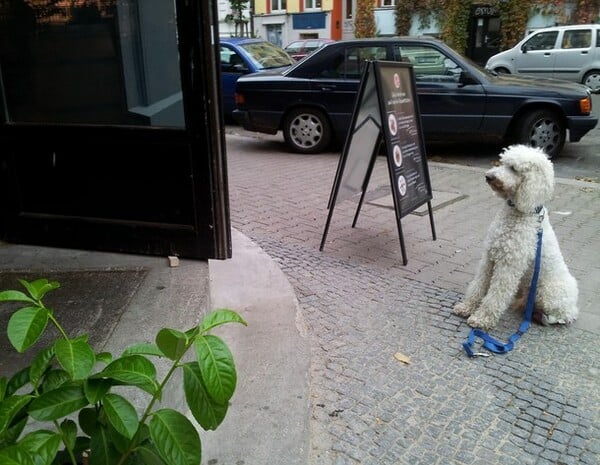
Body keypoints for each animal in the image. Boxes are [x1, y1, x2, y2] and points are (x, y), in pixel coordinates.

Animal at [458, 145, 580, 330]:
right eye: (502, 162)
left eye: (514, 168)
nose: (488, 176)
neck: (519, 213)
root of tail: (572, 306)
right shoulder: (489, 256)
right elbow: (478, 284)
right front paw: (467, 307)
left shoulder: (509, 265)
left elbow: (496, 294)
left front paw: (482, 318)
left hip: (549, 293)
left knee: (562, 316)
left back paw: (542, 316)